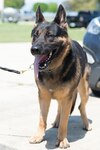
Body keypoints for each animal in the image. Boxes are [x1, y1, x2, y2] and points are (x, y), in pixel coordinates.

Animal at [29, 4, 91, 149]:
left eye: (50, 35)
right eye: (35, 35)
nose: (33, 49)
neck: (53, 69)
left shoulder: (67, 98)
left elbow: (65, 121)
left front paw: (62, 139)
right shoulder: (43, 96)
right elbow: (42, 119)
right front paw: (39, 136)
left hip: (84, 90)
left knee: (81, 107)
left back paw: (86, 124)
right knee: (60, 107)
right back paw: (56, 121)